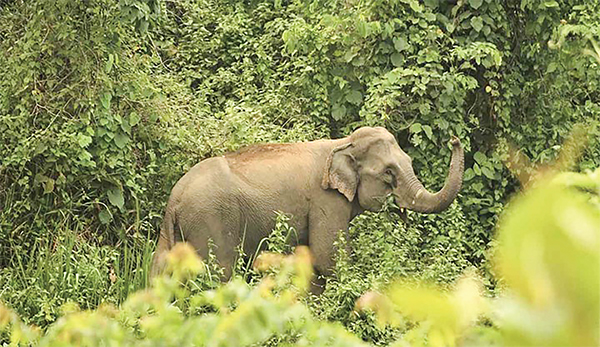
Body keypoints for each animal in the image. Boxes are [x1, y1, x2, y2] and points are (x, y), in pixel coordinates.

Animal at [150, 126, 464, 290]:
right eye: (388, 172)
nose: (454, 138)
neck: (343, 143)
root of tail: (175, 200)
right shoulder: (326, 200)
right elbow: (329, 259)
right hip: (212, 220)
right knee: (219, 274)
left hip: (171, 231)